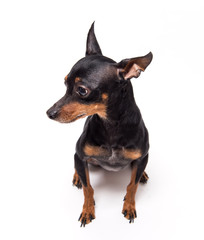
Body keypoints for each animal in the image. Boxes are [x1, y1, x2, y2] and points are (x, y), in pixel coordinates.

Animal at [46, 21, 151, 226]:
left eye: (82, 90)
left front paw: (129, 206)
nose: (49, 113)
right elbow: (88, 188)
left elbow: (132, 185)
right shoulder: (80, 155)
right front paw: (87, 210)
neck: (111, 125)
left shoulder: (142, 156)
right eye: (65, 83)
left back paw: (142, 173)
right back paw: (77, 176)